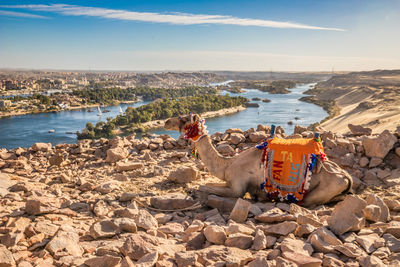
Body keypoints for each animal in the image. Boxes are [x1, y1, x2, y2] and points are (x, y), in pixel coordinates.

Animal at [164, 113, 352, 207]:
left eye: (184, 118)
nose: (165, 122)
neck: (226, 165)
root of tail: (346, 177)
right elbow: (206, 185)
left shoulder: (237, 188)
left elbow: (203, 187)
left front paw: (193, 192)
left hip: (323, 189)